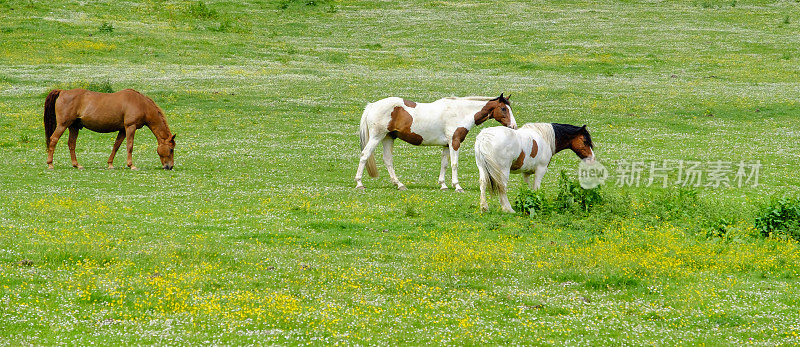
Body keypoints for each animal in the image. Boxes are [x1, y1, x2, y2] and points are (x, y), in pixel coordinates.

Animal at [43, 89, 176, 171]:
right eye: (171, 149)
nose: (169, 167)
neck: (141, 104)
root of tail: (62, 91)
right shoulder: (130, 127)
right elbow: (130, 146)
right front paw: (131, 165)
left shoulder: (123, 129)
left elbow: (116, 146)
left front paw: (110, 164)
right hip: (62, 125)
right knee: (53, 139)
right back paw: (50, 164)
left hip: (74, 127)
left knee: (71, 144)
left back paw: (76, 165)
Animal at [356, 94, 520, 192]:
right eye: (504, 109)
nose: (513, 126)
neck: (461, 112)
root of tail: (372, 105)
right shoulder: (454, 142)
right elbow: (454, 164)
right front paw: (457, 186)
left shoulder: (446, 145)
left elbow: (444, 164)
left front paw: (443, 185)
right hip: (377, 136)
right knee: (365, 155)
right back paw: (359, 183)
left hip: (388, 138)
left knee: (388, 160)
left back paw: (399, 184)